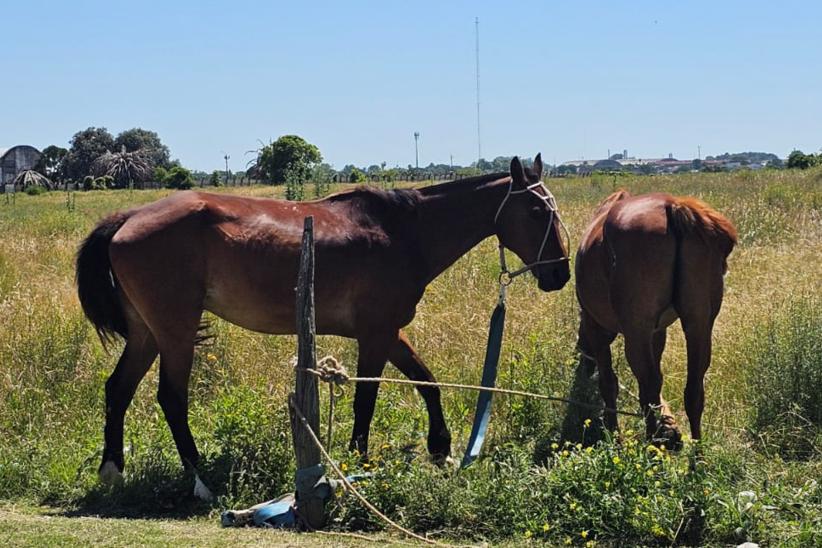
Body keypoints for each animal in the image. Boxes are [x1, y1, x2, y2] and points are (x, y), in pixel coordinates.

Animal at [76, 154, 571, 496]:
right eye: (535, 212)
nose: (560, 274)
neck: (403, 231)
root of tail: (128, 217)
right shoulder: (375, 335)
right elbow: (366, 400)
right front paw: (359, 461)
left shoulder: (390, 333)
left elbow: (428, 383)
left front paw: (441, 449)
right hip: (175, 332)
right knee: (171, 398)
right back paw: (200, 481)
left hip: (147, 334)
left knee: (118, 389)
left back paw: (112, 470)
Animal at [575, 190, 737, 448]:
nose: (581, 357)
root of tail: (673, 207)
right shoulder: (658, 331)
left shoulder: (596, 327)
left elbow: (609, 383)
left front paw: (614, 433)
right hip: (699, 325)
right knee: (693, 391)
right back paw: (697, 453)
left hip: (637, 332)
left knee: (648, 386)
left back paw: (651, 445)